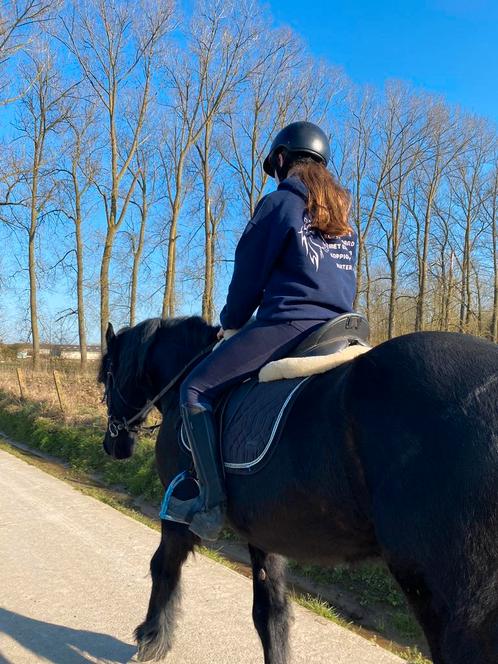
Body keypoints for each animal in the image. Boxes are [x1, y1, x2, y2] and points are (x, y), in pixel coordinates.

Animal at [99, 318, 498, 664]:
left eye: (106, 375)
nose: (113, 444)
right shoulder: (266, 533)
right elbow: (270, 611)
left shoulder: (177, 515)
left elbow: (162, 567)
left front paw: (151, 639)